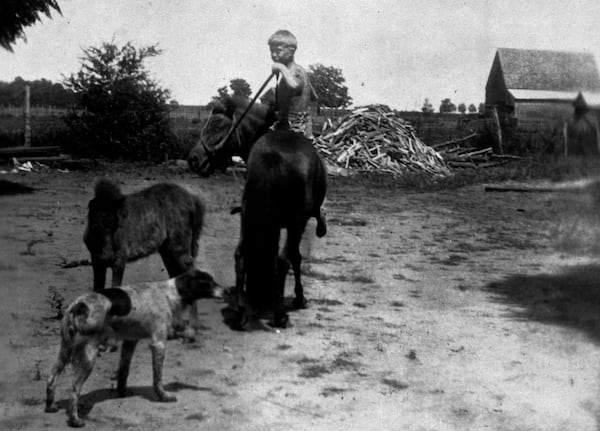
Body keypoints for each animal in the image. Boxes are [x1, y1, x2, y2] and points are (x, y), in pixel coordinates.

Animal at [44, 270, 223, 428]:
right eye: (208, 282)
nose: (227, 291)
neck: (169, 294)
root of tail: (79, 305)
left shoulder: (130, 342)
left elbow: (123, 372)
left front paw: (122, 392)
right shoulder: (158, 343)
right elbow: (158, 378)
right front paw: (163, 396)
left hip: (65, 351)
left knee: (51, 378)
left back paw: (50, 406)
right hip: (88, 357)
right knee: (74, 389)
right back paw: (75, 420)